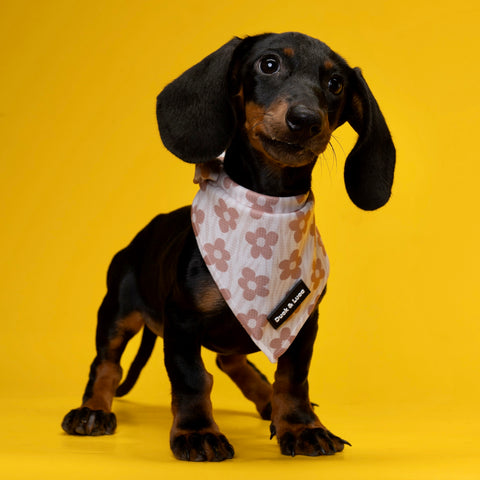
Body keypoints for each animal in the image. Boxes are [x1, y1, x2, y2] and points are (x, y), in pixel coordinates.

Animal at [62, 32, 396, 462]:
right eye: (268, 64)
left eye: (336, 83)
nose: (305, 120)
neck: (268, 204)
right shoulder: (182, 321)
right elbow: (191, 380)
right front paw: (197, 432)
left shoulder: (303, 325)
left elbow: (293, 379)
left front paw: (301, 426)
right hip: (117, 310)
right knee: (106, 363)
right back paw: (92, 410)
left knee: (232, 360)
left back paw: (268, 403)